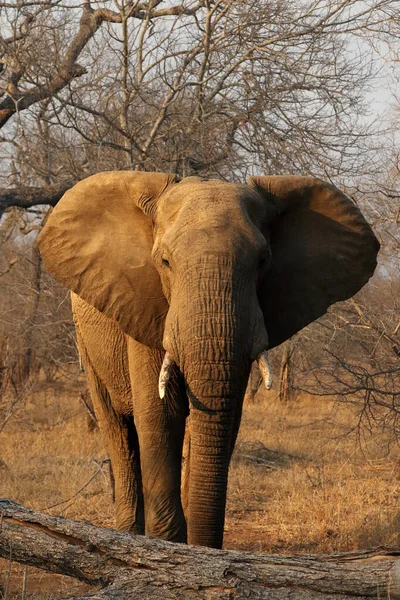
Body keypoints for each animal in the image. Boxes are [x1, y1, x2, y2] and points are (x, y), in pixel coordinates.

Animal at [36, 170, 378, 548]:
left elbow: (226, 416)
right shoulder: (145, 307)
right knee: (117, 427)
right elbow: (161, 414)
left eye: (263, 261)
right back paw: (127, 535)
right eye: (165, 262)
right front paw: (167, 548)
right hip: (87, 340)